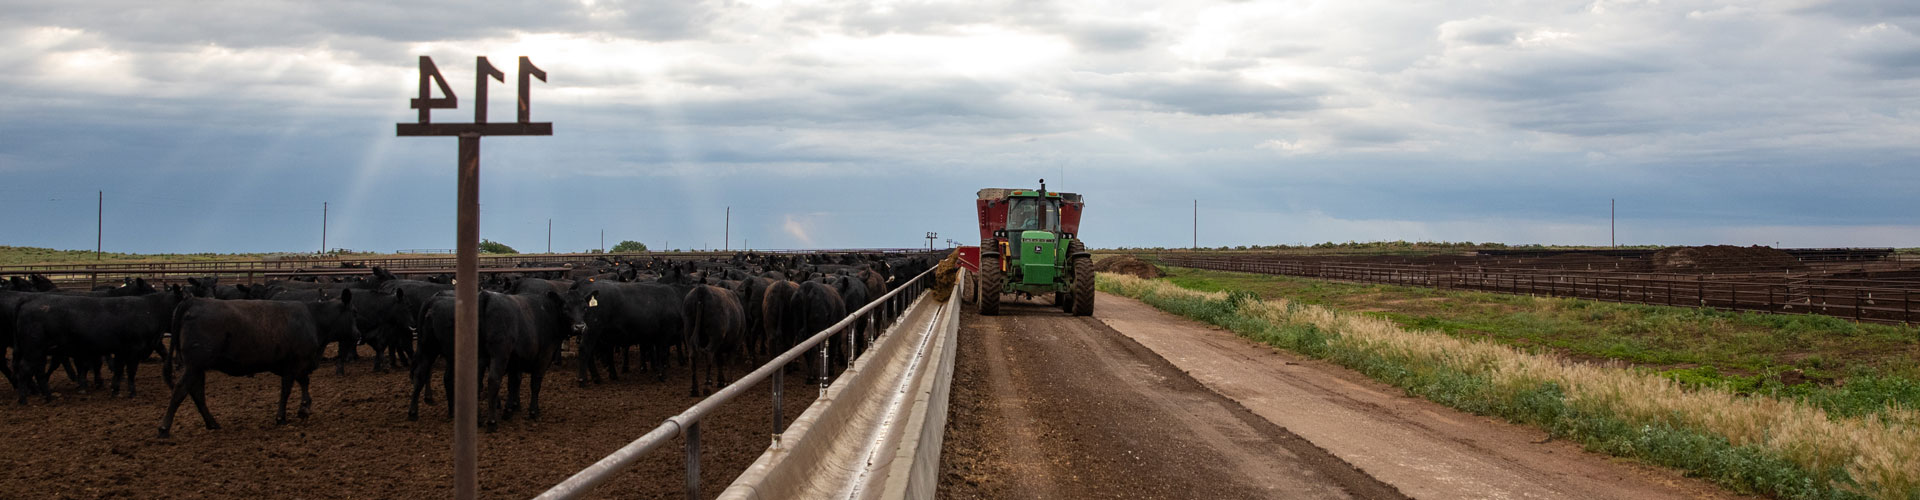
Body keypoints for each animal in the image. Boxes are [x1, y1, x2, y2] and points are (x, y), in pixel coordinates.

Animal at [157, 292, 357, 438]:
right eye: (353, 312)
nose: (359, 334)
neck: (313, 319)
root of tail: (193, 301)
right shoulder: (295, 363)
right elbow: (287, 389)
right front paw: (281, 417)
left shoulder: (296, 364)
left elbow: (304, 382)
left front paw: (304, 408)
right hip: (194, 365)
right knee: (181, 390)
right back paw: (164, 429)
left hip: (198, 367)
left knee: (196, 392)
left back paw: (212, 423)